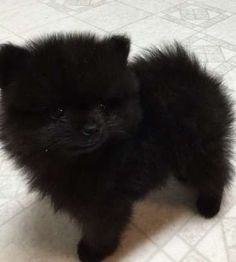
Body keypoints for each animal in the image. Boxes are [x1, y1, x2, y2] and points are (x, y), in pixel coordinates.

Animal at [0, 33, 233, 262]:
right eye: (58, 111)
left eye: (102, 106)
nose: (91, 128)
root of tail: (195, 75)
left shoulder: (105, 201)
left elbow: (101, 228)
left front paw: (93, 251)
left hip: (200, 146)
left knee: (216, 172)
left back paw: (210, 204)